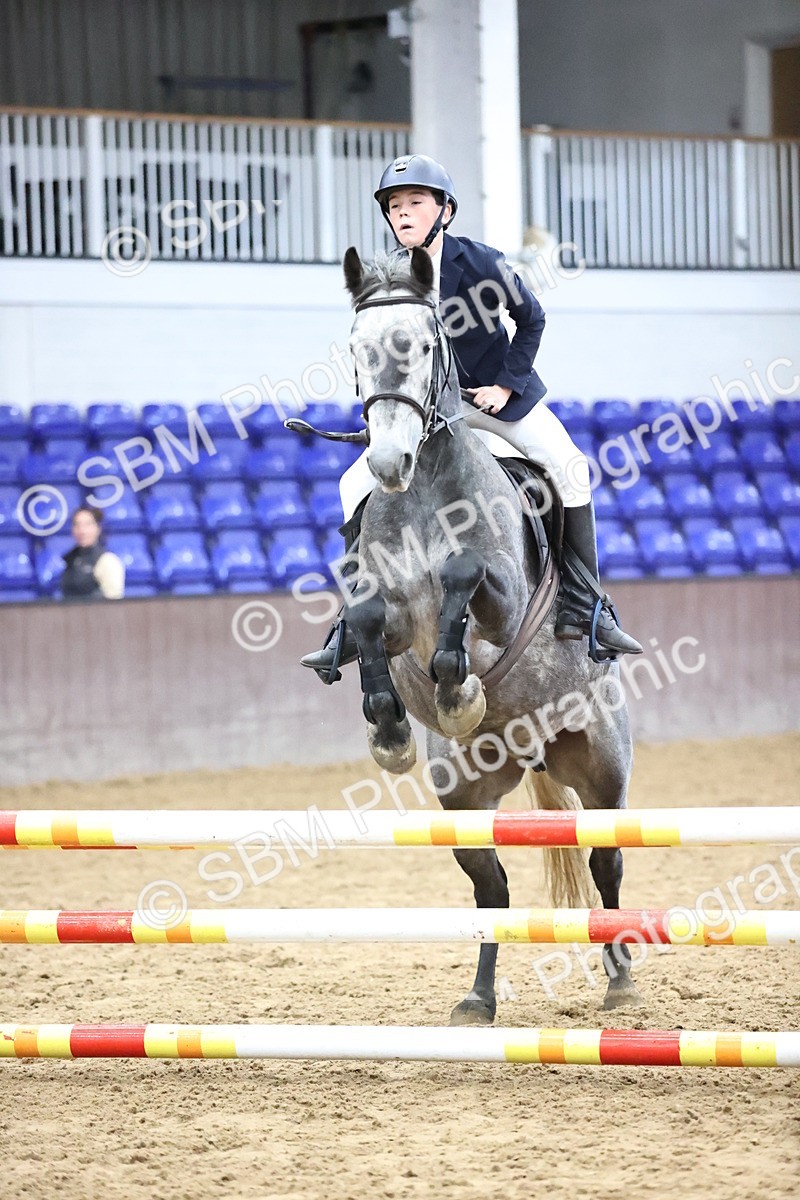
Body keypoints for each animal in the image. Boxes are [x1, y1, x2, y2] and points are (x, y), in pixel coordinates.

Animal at [329, 246, 641, 1026]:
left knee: (606, 861)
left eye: (422, 344)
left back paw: (621, 980)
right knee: (490, 889)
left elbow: (464, 578)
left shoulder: (501, 605)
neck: (422, 494)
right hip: (465, 795)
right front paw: (390, 727)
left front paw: (459, 690)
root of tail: (533, 748)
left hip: (602, 768)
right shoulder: (387, 612)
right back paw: (478, 998)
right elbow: (369, 621)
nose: (387, 464)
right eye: (356, 350)